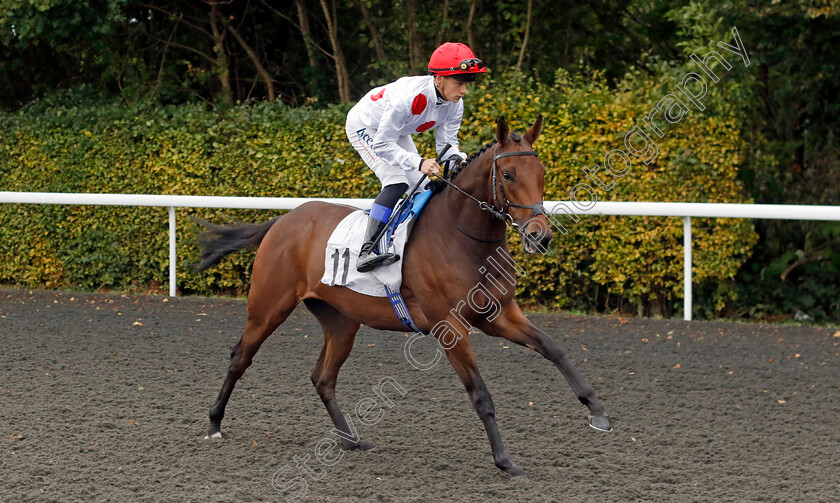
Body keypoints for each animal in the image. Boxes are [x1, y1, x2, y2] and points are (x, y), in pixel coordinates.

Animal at [195, 116, 612, 478]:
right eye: (508, 175)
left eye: (541, 174)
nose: (540, 236)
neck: (462, 237)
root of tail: (283, 220)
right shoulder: (450, 326)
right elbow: (481, 395)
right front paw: (505, 461)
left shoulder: (498, 314)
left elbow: (554, 348)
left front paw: (597, 411)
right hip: (269, 306)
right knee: (240, 357)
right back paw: (214, 423)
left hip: (341, 321)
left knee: (322, 377)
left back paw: (350, 440)